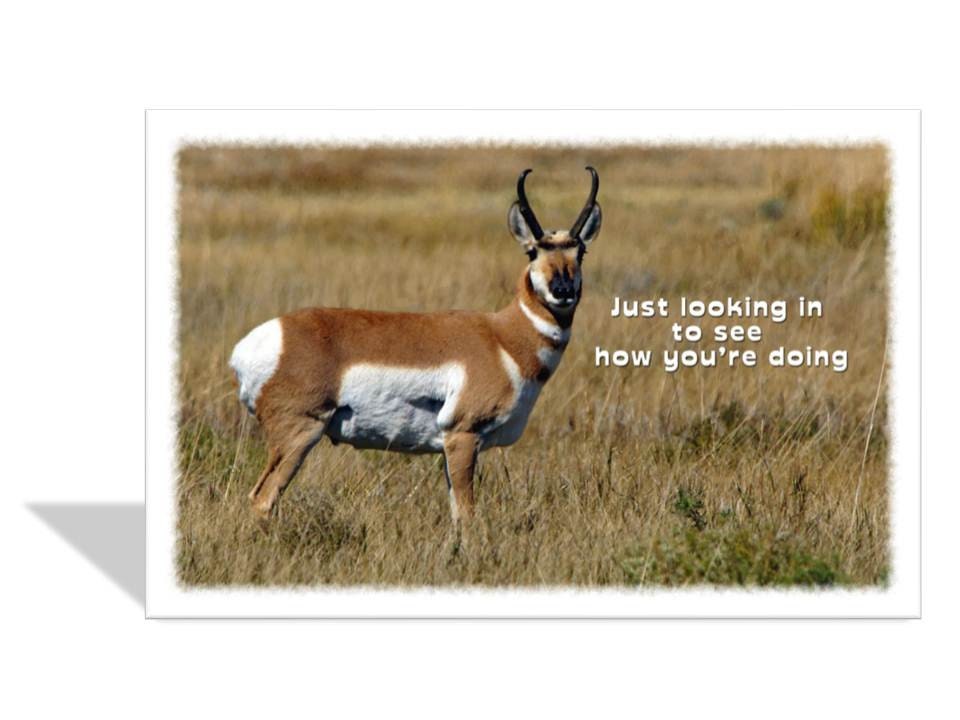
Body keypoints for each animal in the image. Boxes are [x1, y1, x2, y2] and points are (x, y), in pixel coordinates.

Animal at [230, 167, 602, 525]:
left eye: (581, 251)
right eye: (532, 250)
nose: (563, 290)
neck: (503, 337)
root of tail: (261, 340)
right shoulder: (463, 436)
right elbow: (467, 515)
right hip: (300, 434)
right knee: (262, 498)